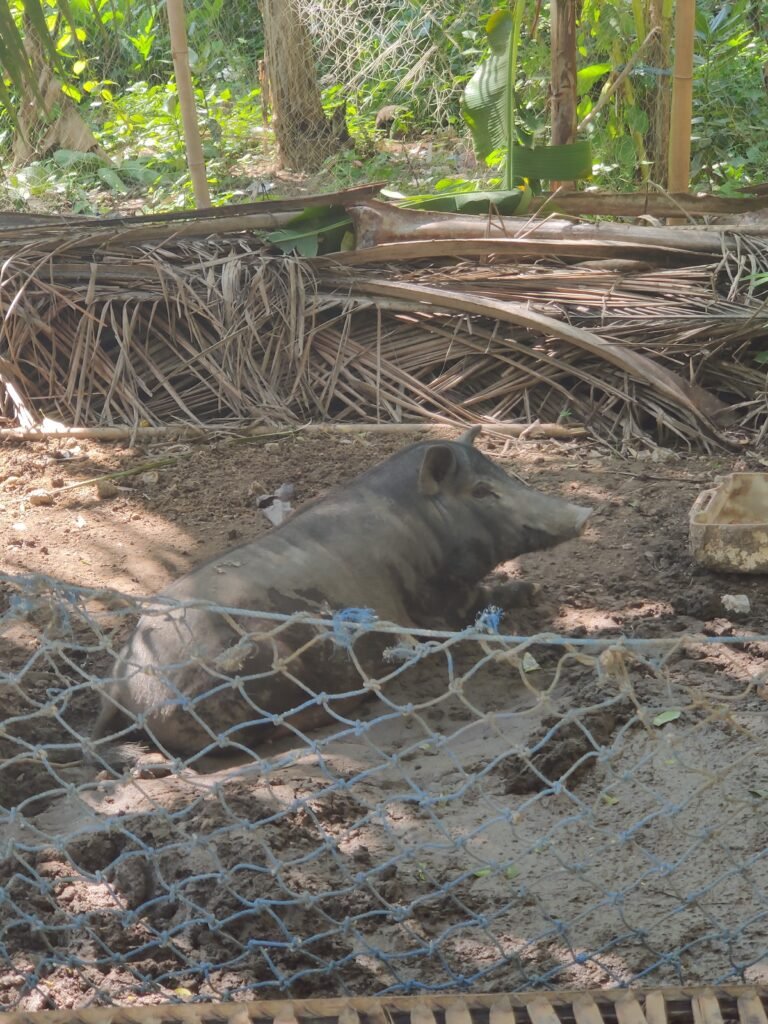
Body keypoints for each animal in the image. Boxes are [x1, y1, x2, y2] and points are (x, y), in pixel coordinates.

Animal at [93, 428, 591, 757]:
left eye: (504, 474)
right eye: (483, 490)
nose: (584, 514)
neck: (419, 526)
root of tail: (121, 688)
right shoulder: (434, 601)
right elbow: (471, 608)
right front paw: (533, 589)